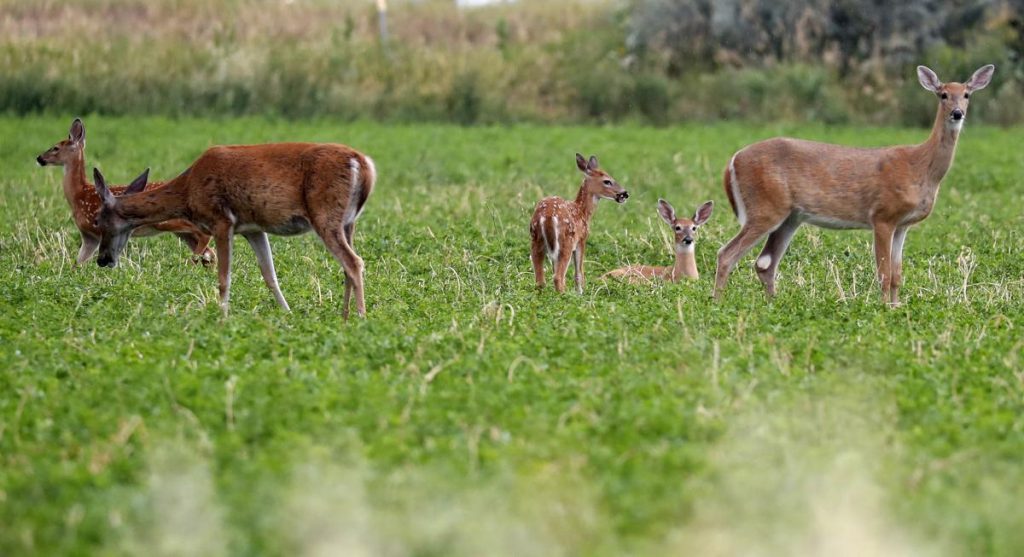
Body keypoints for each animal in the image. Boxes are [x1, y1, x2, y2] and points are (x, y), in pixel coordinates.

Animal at [36, 118, 215, 266]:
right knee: (209, 250)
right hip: (180, 232)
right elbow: (77, 264)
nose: (39, 158)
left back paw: (190, 265)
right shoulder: (88, 236)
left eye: (55, 148)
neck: (79, 194)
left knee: (206, 237)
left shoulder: (98, 230)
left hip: (170, 222)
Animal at [93, 141, 376, 317]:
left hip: (325, 215)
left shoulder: (221, 221)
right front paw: (287, 314)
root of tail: (363, 164)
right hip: (348, 221)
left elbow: (223, 278)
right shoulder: (253, 228)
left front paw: (222, 318)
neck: (188, 189)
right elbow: (269, 275)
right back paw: (344, 316)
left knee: (354, 262)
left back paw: (360, 317)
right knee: (347, 265)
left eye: (98, 220)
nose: (102, 259)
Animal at [532, 152, 626, 290]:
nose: (625, 193)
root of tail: (547, 216)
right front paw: (581, 292)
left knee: (540, 280)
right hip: (566, 241)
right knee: (558, 277)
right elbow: (579, 272)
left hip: (536, 240)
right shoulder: (582, 239)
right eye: (607, 181)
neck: (582, 212)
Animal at [716, 64, 995, 305]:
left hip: (790, 217)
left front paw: (896, 306)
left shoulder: (903, 225)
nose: (957, 113)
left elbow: (897, 275)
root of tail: (733, 160)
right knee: (727, 254)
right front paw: (883, 308)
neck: (921, 168)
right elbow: (884, 273)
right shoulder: (882, 216)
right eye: (943, 94)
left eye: (967, 94)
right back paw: (717, 302)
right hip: (765, 207)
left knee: (765, 263)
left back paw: (772, 303)